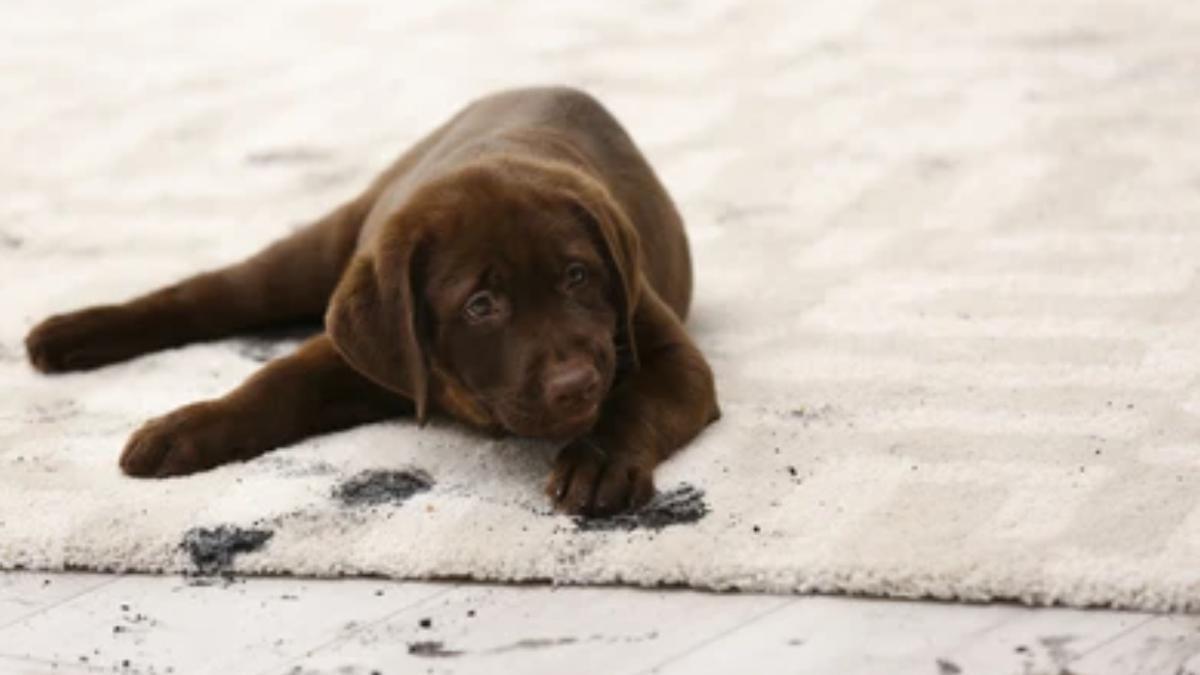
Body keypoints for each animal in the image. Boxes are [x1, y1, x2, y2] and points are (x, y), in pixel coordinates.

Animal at [25, 85, 720, 514]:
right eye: (480, 306)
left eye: (578, 276)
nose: (577, 386)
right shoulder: (362, 351)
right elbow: (273, 383)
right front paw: (184, 428)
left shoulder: (667, 353)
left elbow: (636, 403)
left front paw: (598, 461)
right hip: (320, 251)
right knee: (211, 294)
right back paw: (66, 336)